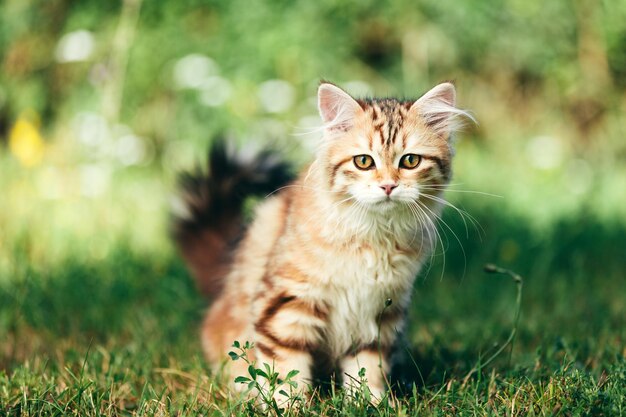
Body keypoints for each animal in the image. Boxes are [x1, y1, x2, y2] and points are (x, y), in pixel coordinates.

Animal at [171, 80, 468, 400]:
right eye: (364, 161)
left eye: (410, 161)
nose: (388, 186)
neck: (373, 235)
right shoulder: (288, 300)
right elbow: (285, 368)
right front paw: (288, 405)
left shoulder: (380, 310)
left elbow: (368, 367)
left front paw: (369, 402)